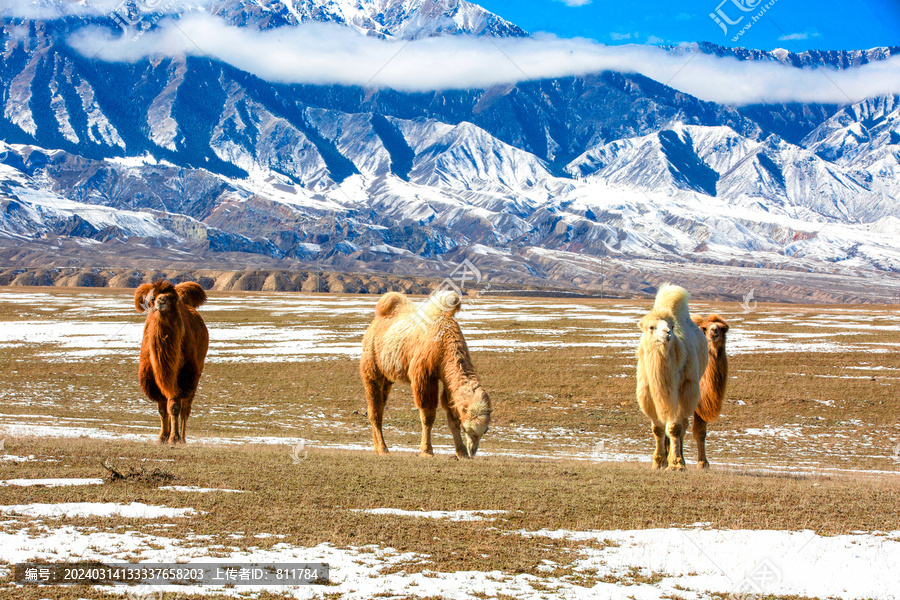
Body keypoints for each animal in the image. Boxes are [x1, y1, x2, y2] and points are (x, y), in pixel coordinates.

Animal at [134, 282, 209, 446]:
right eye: (152, 298)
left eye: (172, 298)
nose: (161, 301)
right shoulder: (153, 381)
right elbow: (162, 409)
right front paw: (162, 437)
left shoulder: (181, 377)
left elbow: (174, 406)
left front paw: (174, 438)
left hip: (194, 375)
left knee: (186, 408)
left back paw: (183, 438)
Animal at [358, 292, 492, 458]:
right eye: (466, 428)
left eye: (485, 430)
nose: (473, 451)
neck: (444, 341)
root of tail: (375, 323)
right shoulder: (424, 376)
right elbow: (428, 416)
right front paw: (427, 450)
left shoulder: (447, 380)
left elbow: (452, 416)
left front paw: (461, 452)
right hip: (372, 370)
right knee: (375, 410)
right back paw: (383, 449)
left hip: (387, 378)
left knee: (380, 406)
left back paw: (377, 448)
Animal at [632, 284, 712, 472]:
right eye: (651, 327)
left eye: (672, 326)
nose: (667, 332)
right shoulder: (648, 393)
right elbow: (658, 428)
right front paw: (659, 462)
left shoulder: (684, 390)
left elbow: (675, 427)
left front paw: (676, 463)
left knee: (682, 425)